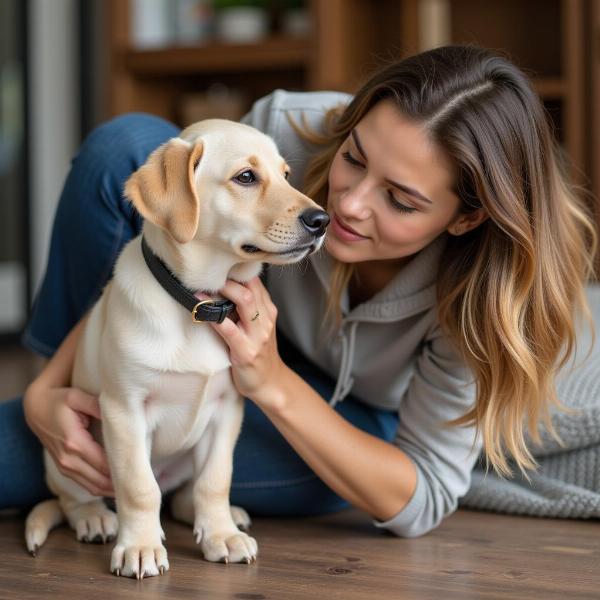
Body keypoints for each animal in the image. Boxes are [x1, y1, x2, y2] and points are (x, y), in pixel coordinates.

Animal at [25, 118, 330, 576]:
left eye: (286, 175)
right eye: (246, 177)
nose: (322, 219)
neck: (196, 303)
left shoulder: (227, 409)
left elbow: (215, 480)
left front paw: (221, 535)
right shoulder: (124, 410)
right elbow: (139, 487)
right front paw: (140, 547)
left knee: (184, 494)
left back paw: (225, 518)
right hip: (60, 457)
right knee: (77, 498)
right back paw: (95, 518)